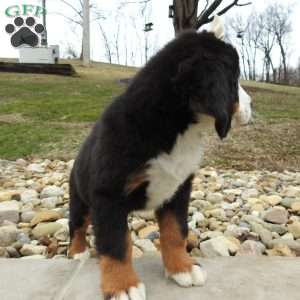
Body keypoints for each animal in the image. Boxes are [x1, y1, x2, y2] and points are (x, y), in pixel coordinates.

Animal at [69, 15, 252, 300]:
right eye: (236, 79)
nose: (252, 104)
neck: (173, 126)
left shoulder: (178, 188)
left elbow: (175, 231)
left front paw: (183, 268)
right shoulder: (107, 195)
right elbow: (115, 242)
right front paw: (122, 285)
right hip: (81, 198)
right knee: (76, 225)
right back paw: (77, 252)